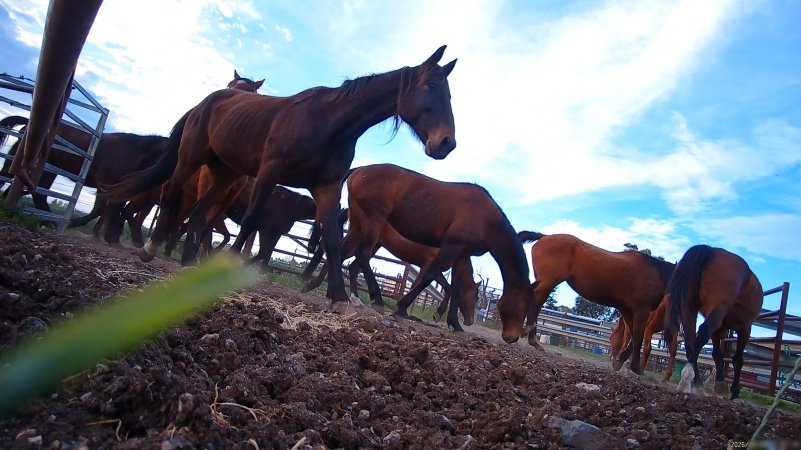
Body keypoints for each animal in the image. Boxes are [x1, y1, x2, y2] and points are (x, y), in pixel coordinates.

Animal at [103, 46, 458, 312]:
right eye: (431, 86)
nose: (446, 143)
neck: (327, 123)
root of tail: (206, 102)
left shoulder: (327, 188)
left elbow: (332, 241)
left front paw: (339, 298)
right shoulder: (269, 174)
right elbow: (250, 223)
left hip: (226, 174)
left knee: (201, 212)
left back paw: (189, 261)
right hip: (191, 158)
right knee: (171, 192)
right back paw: (150, 246)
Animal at [302, 211, 481, 331]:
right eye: (475, 297)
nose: (470, 321)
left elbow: (433, 286)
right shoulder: (431, 264)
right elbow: (435, 286)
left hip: (374, 244)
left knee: (353, 266)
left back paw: (353, 298)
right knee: (339, 257)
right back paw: (317, 287)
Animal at [335, 164, 530, 342]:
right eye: (522, 308)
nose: (513, 337)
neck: (486, 218)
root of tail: (360, 170)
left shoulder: (461, 254)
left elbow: (455, 288)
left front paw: (454, 324)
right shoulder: (449, 248)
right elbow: (429, 278)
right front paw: (401, 308)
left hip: (358, 225)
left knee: (344, 254)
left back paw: (344, 297)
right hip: (373, 221)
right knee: (362, 254)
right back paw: (376, 299)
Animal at [517, 231, 675, 374]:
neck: (656, 272)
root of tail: (544, 236)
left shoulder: (628, 311)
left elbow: (632, 337)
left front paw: (620, 361)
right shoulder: (641, 310)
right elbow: (637, 338)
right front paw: (635, 367)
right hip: (547, 283)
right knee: (535, 305)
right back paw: (531, 339)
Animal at [664, 245, 763, 400]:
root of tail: (710, 250)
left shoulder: (719, 329)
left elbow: (717, 354)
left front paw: (720, 384)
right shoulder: (745, 328)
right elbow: (737, 359)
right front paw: (734, 391)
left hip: (689, 310)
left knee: (690, 341)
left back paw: (696, 383)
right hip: (716, 310)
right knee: (700, 337)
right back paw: (688, 379)